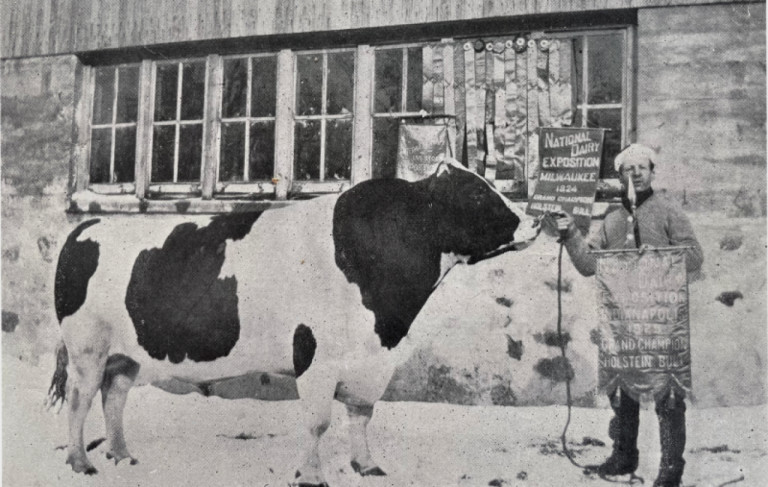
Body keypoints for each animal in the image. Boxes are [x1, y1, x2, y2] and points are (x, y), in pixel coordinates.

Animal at [48, 158, 540, 486]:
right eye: (475, 193)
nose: (537, 221)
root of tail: (87, 225)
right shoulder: (316, 356)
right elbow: (318, 421)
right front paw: (310, 475)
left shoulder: (371, 360)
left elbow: (361, 414)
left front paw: (367, 466)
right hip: (87, 346)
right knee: (80, 398)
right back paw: (80, 462)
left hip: (125, 354)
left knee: (114, 396)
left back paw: (122, 455)